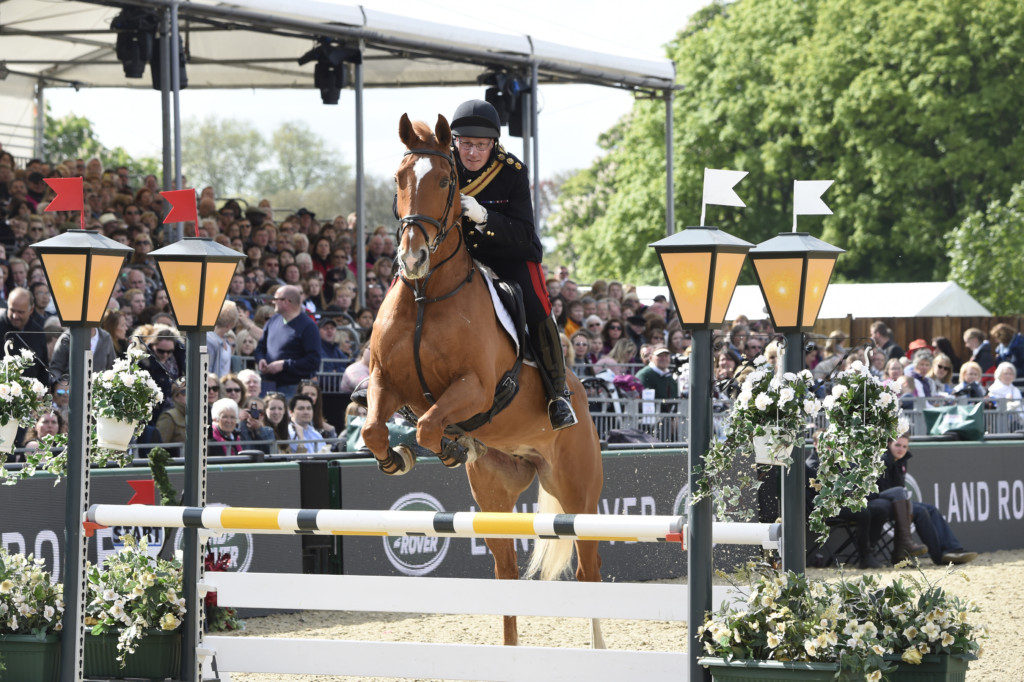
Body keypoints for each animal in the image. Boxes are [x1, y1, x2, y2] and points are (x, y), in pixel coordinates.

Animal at [360, 114, 602, 647]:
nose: (412, 259)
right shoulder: (385, 381)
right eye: (399, 179)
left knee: (589, 570)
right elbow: (373, 429)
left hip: (579, 491)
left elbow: (429, 422)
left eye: (446, 181)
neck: (426, 295)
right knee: (505, 571)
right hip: (494, 491)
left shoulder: (475, 388)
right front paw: (398, 457)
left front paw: (444, 445)